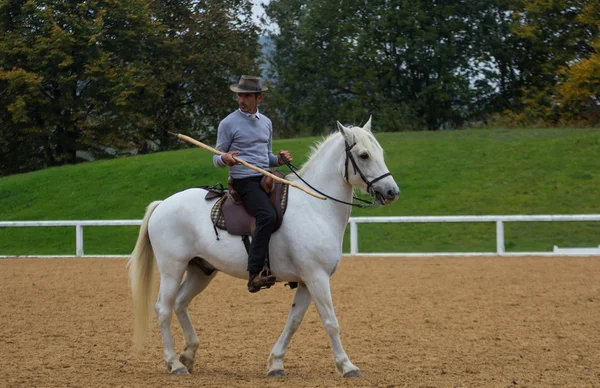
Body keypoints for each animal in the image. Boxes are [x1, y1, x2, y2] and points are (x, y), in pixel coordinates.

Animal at [127, 117, 398, 376]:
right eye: (364, 155)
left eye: (381, 152)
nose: (392, 191)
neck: (315, 206)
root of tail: (162, 204)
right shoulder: (317, 277)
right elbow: (330, 322)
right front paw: (348, 366)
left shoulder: (306, 281)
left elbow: (294, 321)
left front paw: (276, 363)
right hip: (172, 268)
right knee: (163, 309)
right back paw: (175, 363)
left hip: (201, 270)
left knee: (181, 303)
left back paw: (189, 354)